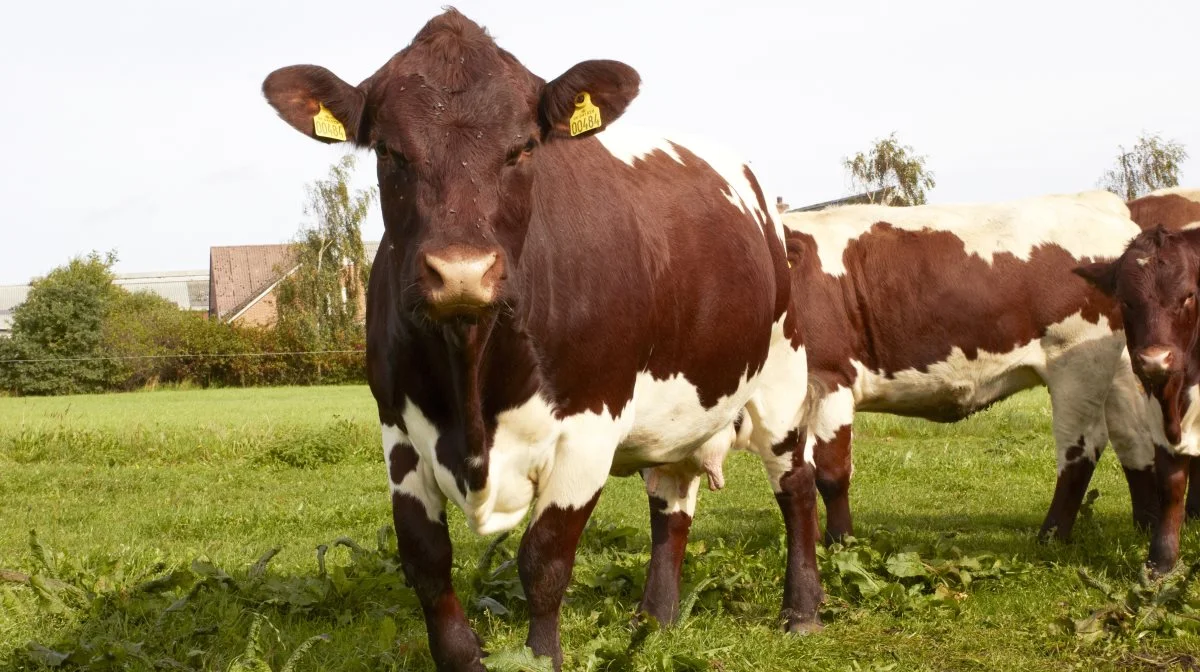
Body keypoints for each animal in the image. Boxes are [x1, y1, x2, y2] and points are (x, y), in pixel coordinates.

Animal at [265, 10, 816, 672]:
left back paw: (801, 611)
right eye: (390, 151)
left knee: (796, 485)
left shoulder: (589, 426)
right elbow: (426, 561)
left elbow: (545, 560)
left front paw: (541, 655)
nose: (462, 271)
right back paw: (655, 619)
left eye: (523, 147)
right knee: (671, 501)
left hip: (781, 377)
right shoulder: (397, 428)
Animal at [772, 193, 1156, 547]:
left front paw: (840, 543)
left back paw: (1051, 537)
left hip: (1076, 364)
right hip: (1119, 368)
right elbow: (798, 470)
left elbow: (830, 473)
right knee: (1133, 436)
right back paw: (1144, 525)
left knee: (1082, 448)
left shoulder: (829, 378)